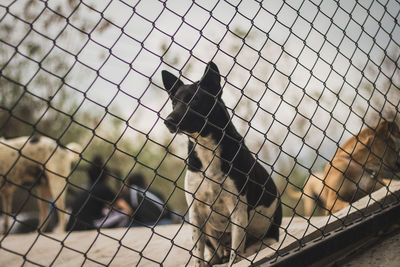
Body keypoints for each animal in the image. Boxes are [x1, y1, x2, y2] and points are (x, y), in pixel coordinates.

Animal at [161, 62, 280, 266]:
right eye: (174, 103)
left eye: (194, 100)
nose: (168, 121)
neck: (206, 148)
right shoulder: (195, 213)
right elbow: (198, 255)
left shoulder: (237, 210)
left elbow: (235, 254)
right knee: (215, 254)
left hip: (268, 235)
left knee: (252, 247)